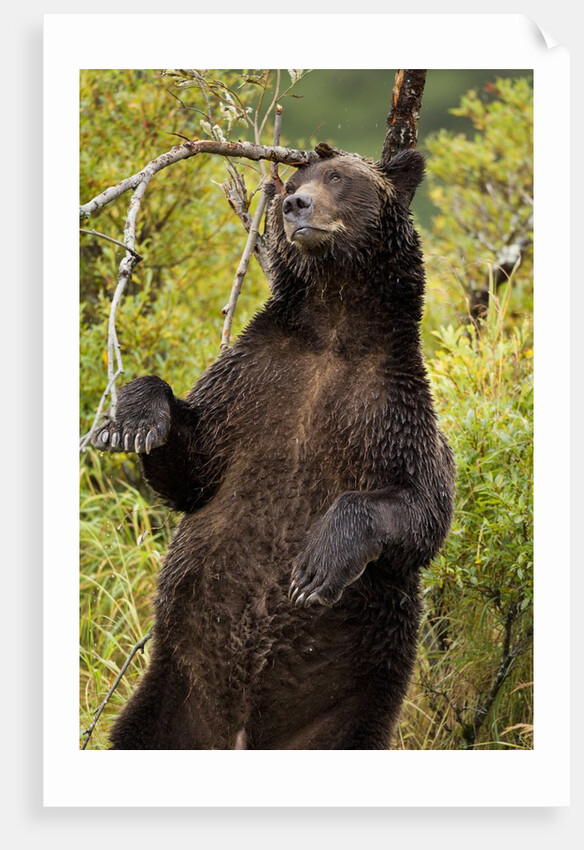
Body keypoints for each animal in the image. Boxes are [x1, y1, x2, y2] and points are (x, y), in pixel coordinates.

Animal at [92, 147, 455, 750]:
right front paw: (130, 423)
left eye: (338, 176)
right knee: (137, 731)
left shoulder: (392, 412)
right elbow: (194, 468)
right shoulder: (254, 383)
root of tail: (238, 733)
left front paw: (316, 565)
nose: (294, 205)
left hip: (349, 709)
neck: (335, 327)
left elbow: (422, 511)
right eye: (294, 179)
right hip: (172, 691)